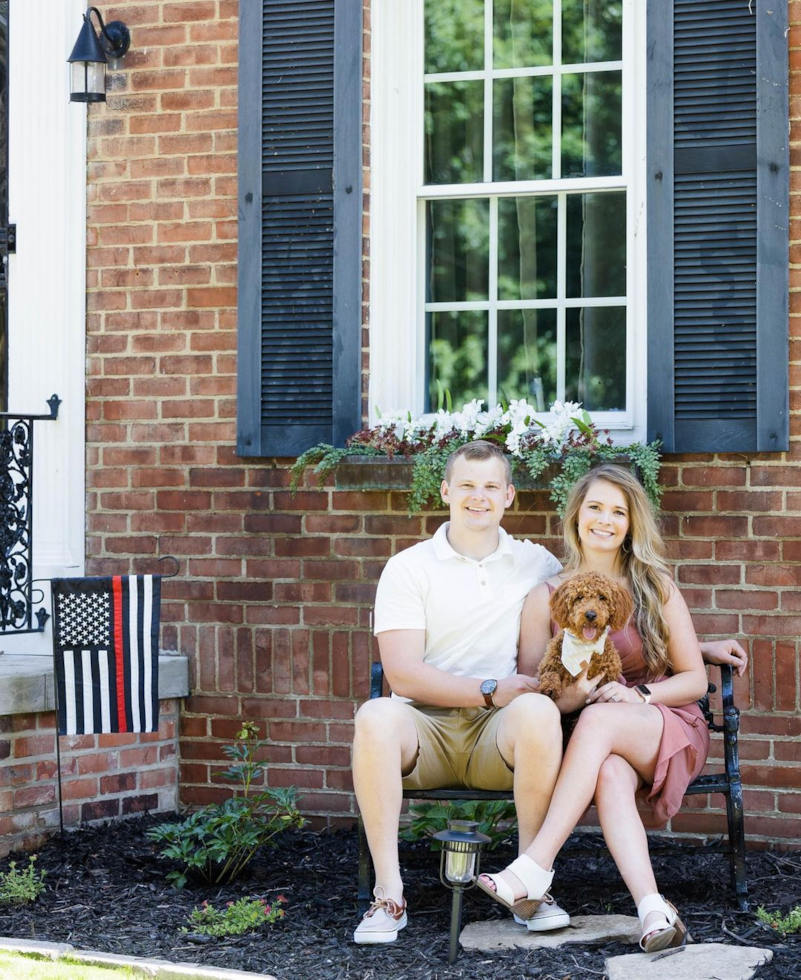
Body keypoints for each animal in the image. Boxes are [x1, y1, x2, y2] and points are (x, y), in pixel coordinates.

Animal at [536, 572, 636, 700]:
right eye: (579, 597)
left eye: (602, 597)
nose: (590, 615)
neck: (586, 646)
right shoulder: (547, 665)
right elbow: (550, 673)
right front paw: (549, 689)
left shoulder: (608, 676)